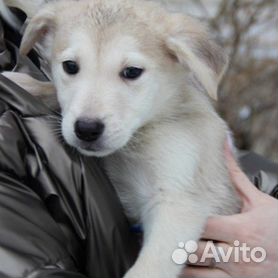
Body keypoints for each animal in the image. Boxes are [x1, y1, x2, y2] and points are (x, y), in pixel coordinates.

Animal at [0, 0, 239, 278]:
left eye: (132, 72)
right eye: (70, 66)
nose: (87, 129)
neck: (139, 137)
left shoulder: (178, 200)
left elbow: (148, 269)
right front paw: (23, 83)